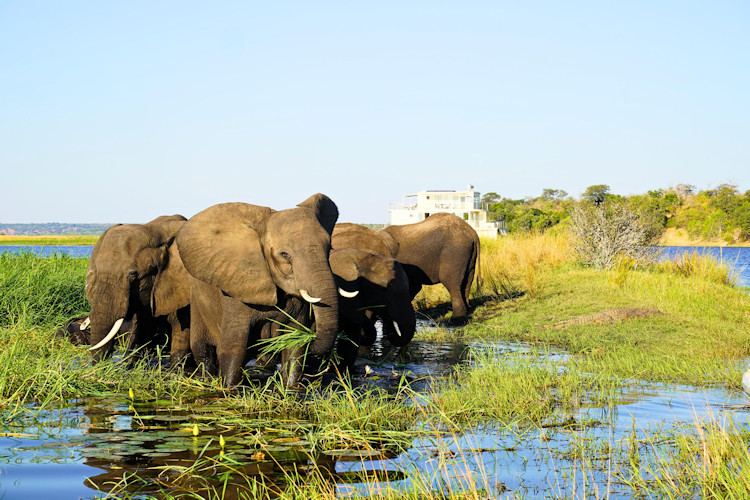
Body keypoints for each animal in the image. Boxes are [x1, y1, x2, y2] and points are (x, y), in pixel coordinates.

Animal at [174, 194, 341, 388]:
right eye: (285, 254)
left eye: (329, 249)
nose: (312, 337)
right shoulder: (237, 288)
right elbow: (233, 348)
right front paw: (229, 388)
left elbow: (293, 348)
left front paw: (291, 388)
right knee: (203, 350)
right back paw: (206, 379)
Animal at [332, 213, 481, 321]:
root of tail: (473, 233)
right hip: (468, 257)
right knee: (467, 283)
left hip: (454, 252)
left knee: (452, 283)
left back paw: (455, 320)